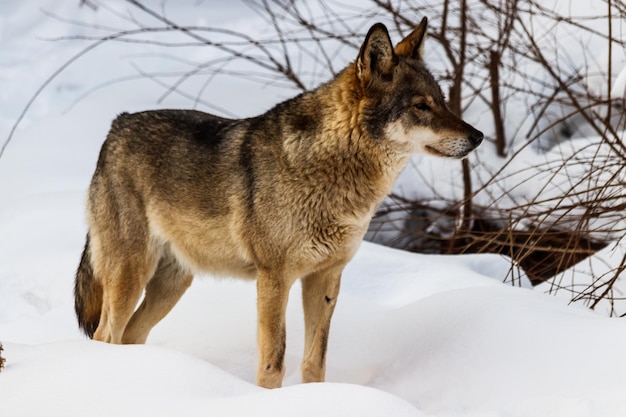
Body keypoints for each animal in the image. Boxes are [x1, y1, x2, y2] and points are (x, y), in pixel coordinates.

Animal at [74, 16, 482, 386]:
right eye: (420, 106)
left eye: (442, 101)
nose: (478, 136)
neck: (332, 172)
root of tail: (116, 126)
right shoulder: (274, 278)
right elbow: (274, 363)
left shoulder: (326, 278)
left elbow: (315, 362)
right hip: (131, 275)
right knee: (105, 335)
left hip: (172, 284)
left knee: (130, 335)